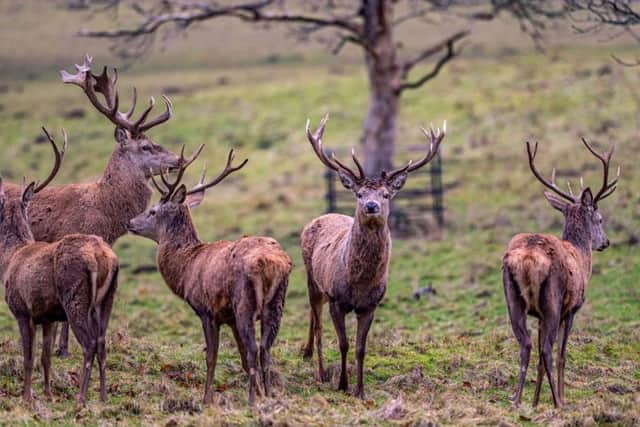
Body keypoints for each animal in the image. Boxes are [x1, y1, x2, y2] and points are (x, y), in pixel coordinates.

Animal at [1, 128, 119, 405]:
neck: (9, 258)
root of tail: (102, 256)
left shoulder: (21, 309)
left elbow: (28, 357)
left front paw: (27, 397)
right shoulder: (48, 316)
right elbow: (45, 357)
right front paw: (47, 393)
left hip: (75, 297)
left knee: (89, 344)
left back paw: (81, 399)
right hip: (106, 299)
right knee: (102, 342)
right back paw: (104, 397)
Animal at [127, 148, 293, 406]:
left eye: (153, 211)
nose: (130, 222)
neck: (186, 266)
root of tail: (273, 264)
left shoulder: (206, 310)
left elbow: (212, 356)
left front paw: (206, 400)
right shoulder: (229, 318)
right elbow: (240, 357)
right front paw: (262, 393)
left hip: (245, 303)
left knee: (255, 350)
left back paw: (251, 401)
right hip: (276, 304)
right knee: (265, 350)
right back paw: (267, 396)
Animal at [301, 114, 445, 399]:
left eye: (385, 194)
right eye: (359, 194)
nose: (371, 206)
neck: (359, 282)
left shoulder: (371, 305)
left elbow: (360, 348)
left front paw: (360, 390)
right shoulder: (336, 299)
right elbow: (344, 344)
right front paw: (342, 384)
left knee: (314, 318)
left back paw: (309, 355)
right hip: (312, 279)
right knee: (319, 325)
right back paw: (320, 373)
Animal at [502, 138, 619, 408]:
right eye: (600, 218)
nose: (606, 242)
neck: (582, 257)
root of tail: (528, 258)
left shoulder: (540, 317)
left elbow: (539, 359)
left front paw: (535, 402)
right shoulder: (573, 308)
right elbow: (562, 354)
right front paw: (562, 398)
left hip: (513, 299)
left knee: (525, 344)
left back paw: (516, 399)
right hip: (553, 300)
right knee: (547, 349)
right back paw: (557, 403)